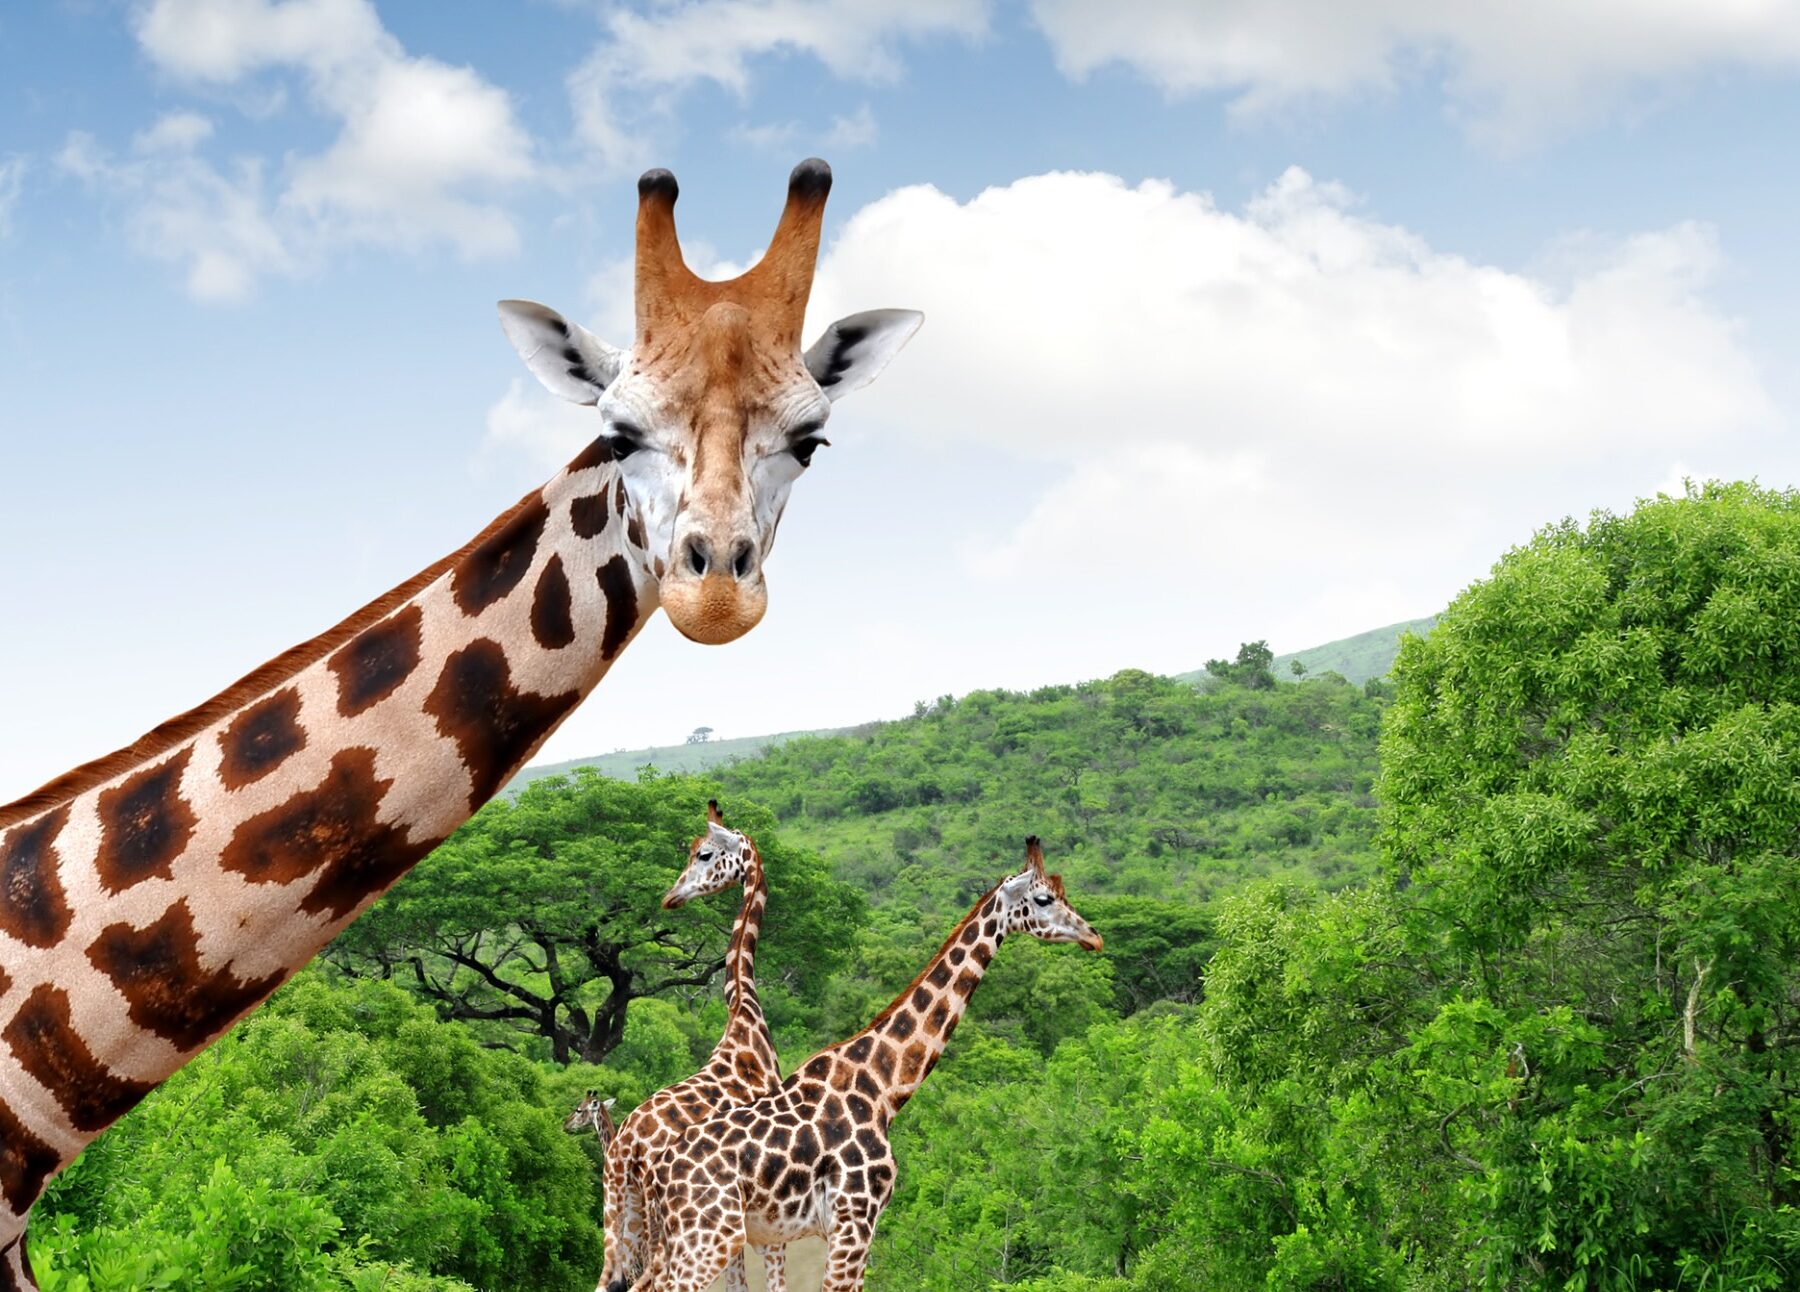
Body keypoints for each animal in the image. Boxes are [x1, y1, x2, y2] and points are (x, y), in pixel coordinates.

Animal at [638, 838, 1102, 1292]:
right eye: (1043, 898)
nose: (1093, 936)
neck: (884, 1086)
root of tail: (657, 1174)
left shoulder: (851, 1227)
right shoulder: (854, 1220)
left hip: (683, 1238)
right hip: (709, 1237)